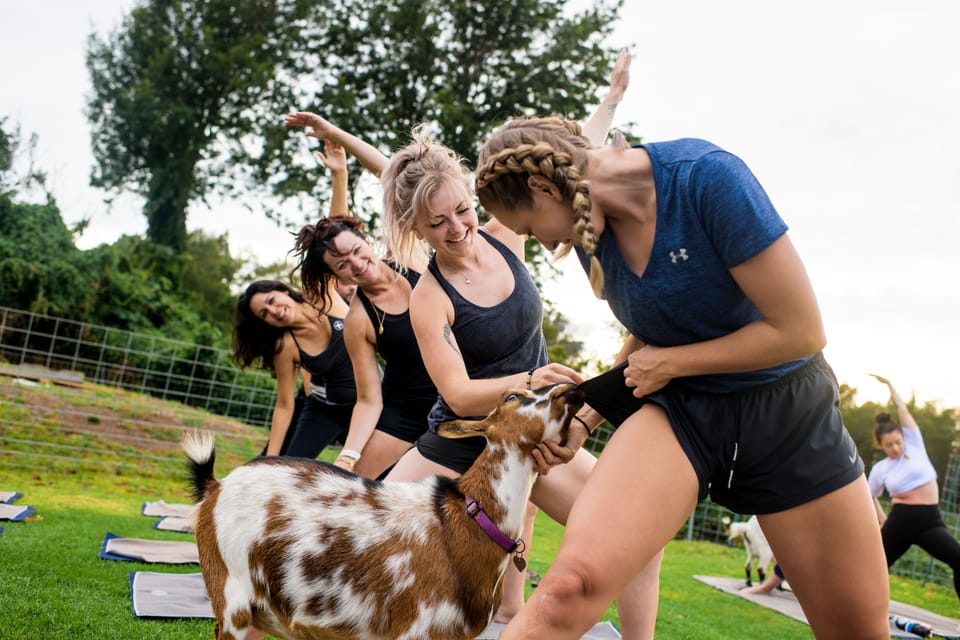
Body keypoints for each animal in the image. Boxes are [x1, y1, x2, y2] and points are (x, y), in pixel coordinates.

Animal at [183, 382, 580, 640]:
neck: (468, 518)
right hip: (231, 592)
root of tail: (216, 486)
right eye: (514, 395)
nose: (572, 390)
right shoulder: (415, 629)